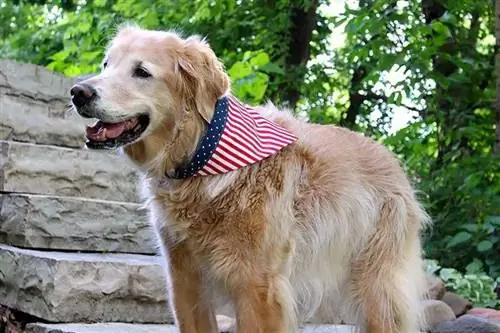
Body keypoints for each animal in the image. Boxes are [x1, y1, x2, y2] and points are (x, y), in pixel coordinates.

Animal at [69, 24, 430, 330]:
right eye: (106, 65)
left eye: (142, 72)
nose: (78, 92)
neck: (201, 154)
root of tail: (392, 160)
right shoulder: (185, 279)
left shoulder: (258, 286)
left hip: (378, 290)